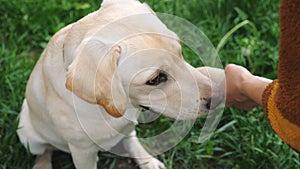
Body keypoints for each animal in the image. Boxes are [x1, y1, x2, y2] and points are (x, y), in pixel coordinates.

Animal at [17, 0, 221, 169]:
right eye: (155, 79)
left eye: (180, 51)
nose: (218, 97)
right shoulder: (82, 152)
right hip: (28, 135)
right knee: (45, 150)